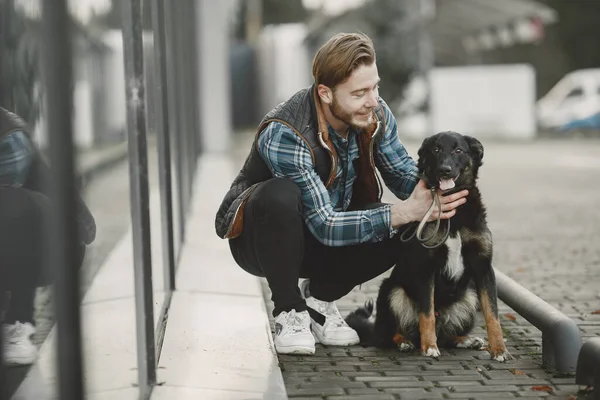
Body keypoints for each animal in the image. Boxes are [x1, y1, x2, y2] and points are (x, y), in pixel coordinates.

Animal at [346, 131, 510, 362]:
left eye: (458, 150)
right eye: (436, 149)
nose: (445, 169)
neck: (453, 214)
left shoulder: (483, 268)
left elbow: (493, 314)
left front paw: (499, 349)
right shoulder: (426, 268)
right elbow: (427, 313)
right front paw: (430, 347)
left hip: (469, 294)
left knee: (448, 335)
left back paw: (466, 339)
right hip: (393, 291)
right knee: (388, 334)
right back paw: (405, 342)